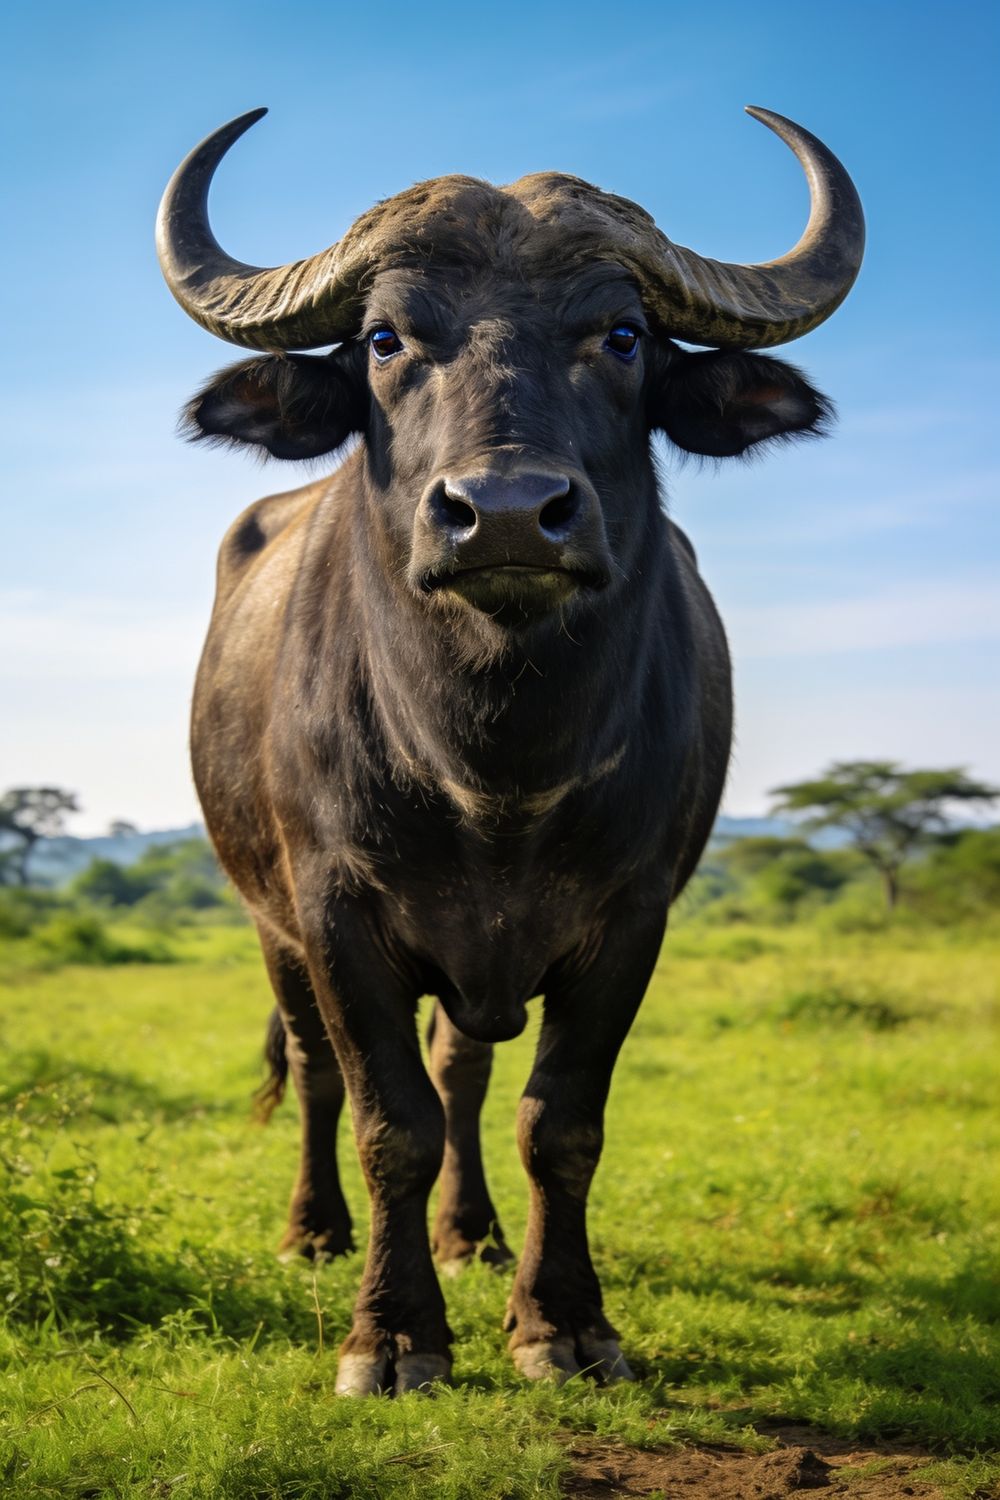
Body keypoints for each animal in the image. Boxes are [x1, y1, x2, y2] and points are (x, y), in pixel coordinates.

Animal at [157, 106, 863, 1394]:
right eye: (386, 338)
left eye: (621, 335)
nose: (504, 514)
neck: (494, 763)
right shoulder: (334, 911)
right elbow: (389, 1121)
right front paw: (391, 1339)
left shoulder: (632, 918)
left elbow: (556, 1120)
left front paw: (562, 1322)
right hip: (268, 922)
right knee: (319, 1070)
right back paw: (313, 1232)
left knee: (466, 1071)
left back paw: (472, 1234)